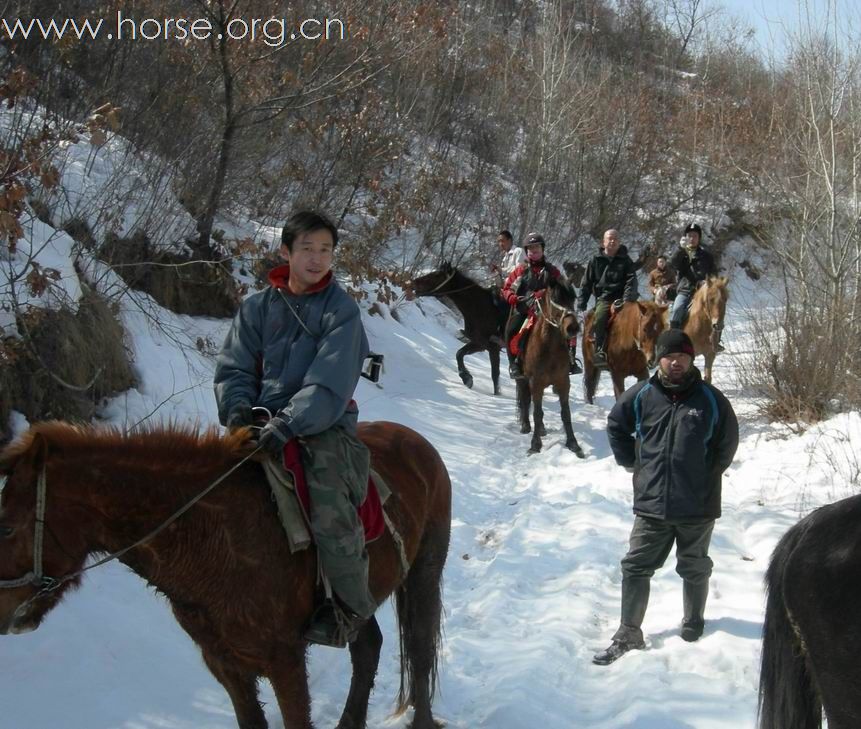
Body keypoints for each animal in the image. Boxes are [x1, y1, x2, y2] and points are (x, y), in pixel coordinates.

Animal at [0, 418, 454, 728]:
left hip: (423, 573)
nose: (5, 615)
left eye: (7, 527)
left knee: (419, 645)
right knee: (369, 647)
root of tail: (417, 442)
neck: (214, 536)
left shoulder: (285, 661)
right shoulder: (225, 664)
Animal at [410, 264, 504, 396]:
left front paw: (496, 395)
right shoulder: (480, 344)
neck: (483, 309)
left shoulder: (493, 347)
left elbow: (495, 374)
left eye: (436, 275)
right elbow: (459, 353)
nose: (414, 281)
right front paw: (466, 378)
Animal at [516, 282, 584, 458]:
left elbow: (566, 414)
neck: (549, 348)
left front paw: (573, 444)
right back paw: (526, 426)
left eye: (573, 298)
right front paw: (535, 445)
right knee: (525, 401)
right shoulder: (536, 383)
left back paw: (541, 429)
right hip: (522, 379)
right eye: (555, 298)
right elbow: (537, 412)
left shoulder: (563, 383)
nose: (573, 327)